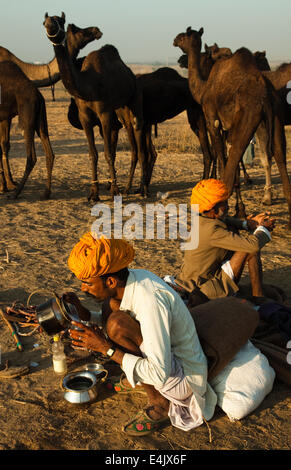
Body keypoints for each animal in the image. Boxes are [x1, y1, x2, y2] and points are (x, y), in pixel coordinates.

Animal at [43, 11, 144, 201]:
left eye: (60, 21)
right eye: (44, 21)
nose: (49, 25)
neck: (88, 85)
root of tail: (131, 75)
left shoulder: (104, 113)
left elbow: (108, 153)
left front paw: (115, 191)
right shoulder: (85, 117)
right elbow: (93, 154)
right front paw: (93, 193)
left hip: (129, 109)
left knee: (134, 149)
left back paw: (128, 188)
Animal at [173, 27, 291, 229]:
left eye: (183, 37)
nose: (174, 40)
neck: (203, 88)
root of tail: (266, 95)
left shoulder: (212, 120)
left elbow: (221, 157)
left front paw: (236, 207)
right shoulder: (228, 126)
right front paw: (239, 208)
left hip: (249, 118)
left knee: (235, 156)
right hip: (275, 117)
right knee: (278, 153)